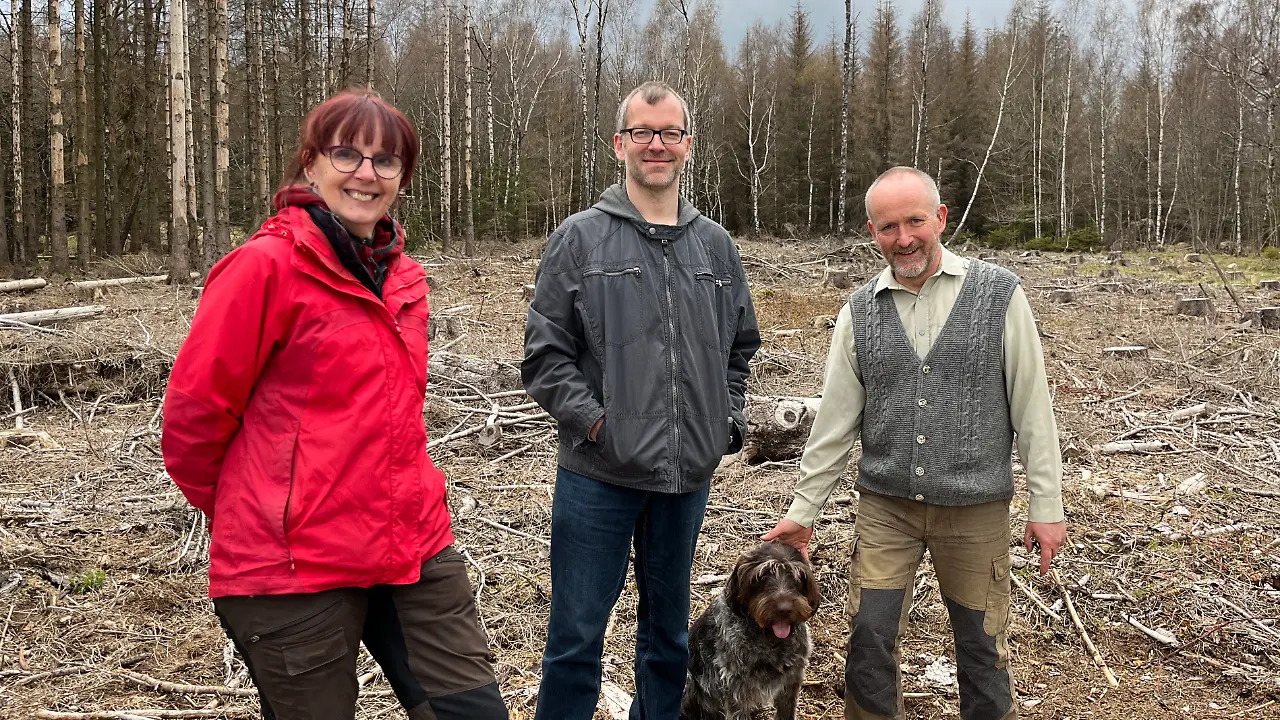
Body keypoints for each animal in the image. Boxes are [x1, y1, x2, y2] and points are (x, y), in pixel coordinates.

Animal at [680, 540, 819, 712]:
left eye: (798, 576)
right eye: (762, 575)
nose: (784, 609)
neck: (771, 640)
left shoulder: (791, 681)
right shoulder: (738, 692)